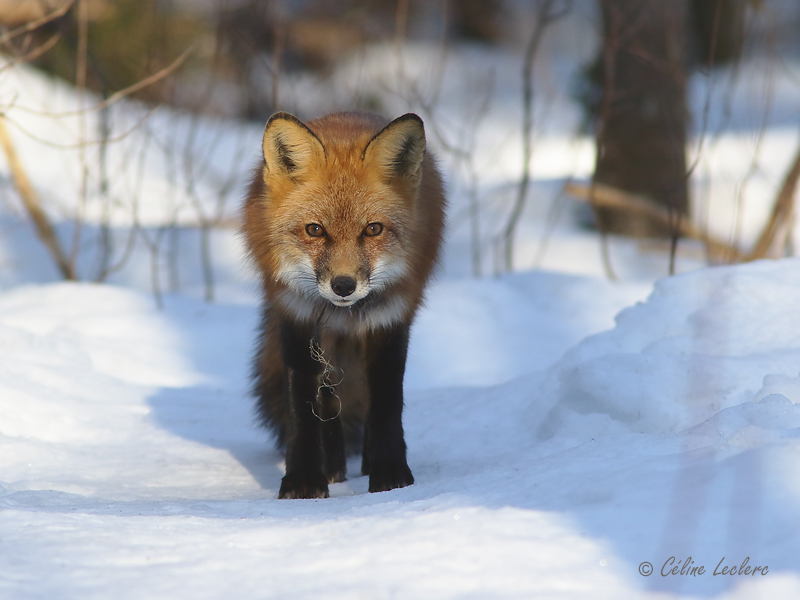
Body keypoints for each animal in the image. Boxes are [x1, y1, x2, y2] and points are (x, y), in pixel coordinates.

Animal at [241, 110, 446, 500]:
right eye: (315, 230)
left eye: (373, 229)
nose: (344, 285)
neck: (344, 312)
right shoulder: (297, 317)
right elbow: (304, 405)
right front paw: (304, 478)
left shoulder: (389, 319)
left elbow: (385, 401)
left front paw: (390, 474)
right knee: (329, 397)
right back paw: (333, 465)